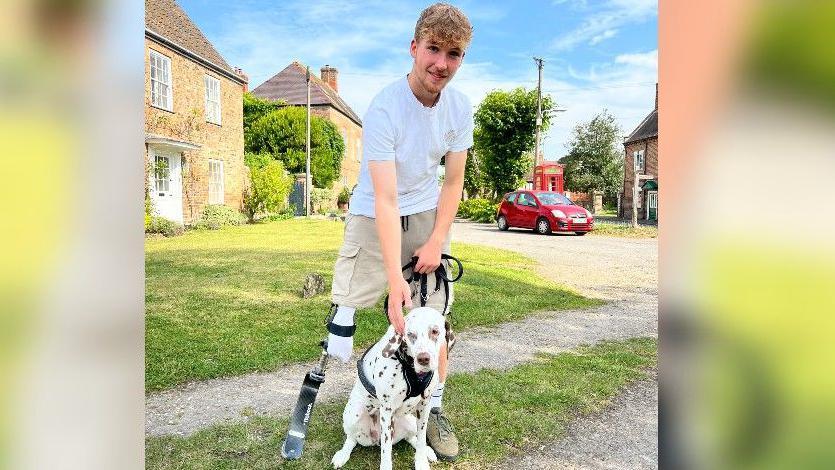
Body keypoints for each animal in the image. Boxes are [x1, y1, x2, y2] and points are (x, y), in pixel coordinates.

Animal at [334, 306, 450, 468]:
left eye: (434, 331)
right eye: (410, 334)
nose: (423, 359)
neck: (410, 369)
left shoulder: (424, 405)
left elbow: (421, 438)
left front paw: (421, 462)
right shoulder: (387, 410)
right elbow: (386, 451)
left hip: (410, 421)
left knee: (411, 438)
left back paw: (427, 451)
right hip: (353, 415)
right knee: (351, 439)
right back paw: (342, 455)